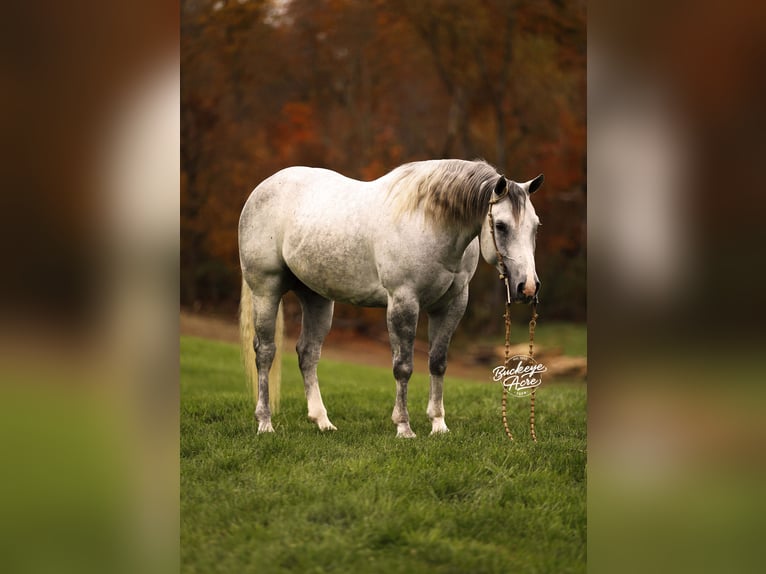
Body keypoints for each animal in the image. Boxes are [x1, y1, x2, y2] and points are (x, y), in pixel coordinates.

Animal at [238, 159, 543, 437]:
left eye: (536, 226)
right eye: (501, 226)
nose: (527, 287)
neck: (430, 222)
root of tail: (262, 188)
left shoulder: (451, 305)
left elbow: (438, 362)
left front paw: (438, 425)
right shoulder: (403, 301)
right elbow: (403, 367)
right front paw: (404, 427)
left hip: (317, 298)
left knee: (308, 353)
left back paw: (323, 422)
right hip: (266, 290)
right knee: (265, 352)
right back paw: (265, 423)